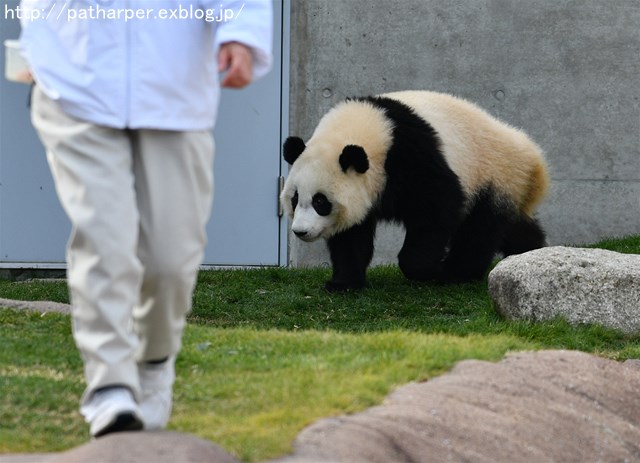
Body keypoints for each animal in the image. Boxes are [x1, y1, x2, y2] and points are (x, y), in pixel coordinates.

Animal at [282, 90, 552, 292]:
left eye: (320, 201)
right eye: (295, 199)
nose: (300, 231)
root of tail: (532, 157)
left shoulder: (411, 154)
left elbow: (438, 207)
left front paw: (426, 269)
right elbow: (351, 234)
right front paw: (343, 283)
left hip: (492, 173)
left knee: (480, 228)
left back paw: (456, 272)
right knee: (513, 226)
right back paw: (532, 251)